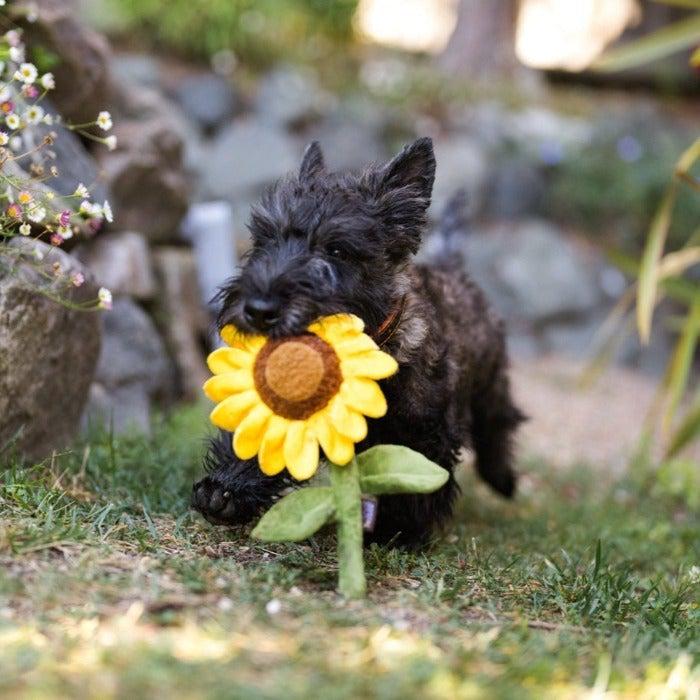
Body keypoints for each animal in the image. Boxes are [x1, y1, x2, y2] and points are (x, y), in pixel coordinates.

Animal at [193, 138, 524, 548]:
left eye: (336, 250)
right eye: (266, 239)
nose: (258, 310)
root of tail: (453, 265)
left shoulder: (422, 432)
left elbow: (412, 478)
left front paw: (396, 531)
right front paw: (225, 492)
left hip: (490, 378)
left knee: (500, 419)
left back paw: (502, 479)